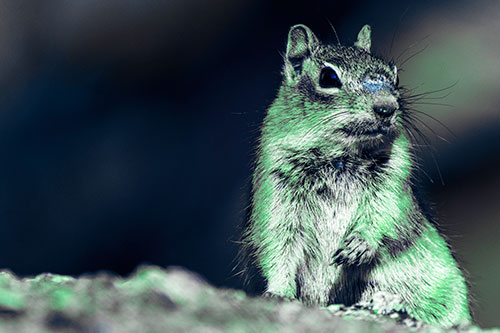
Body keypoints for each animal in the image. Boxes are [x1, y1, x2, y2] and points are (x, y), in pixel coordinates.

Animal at [240, 24, 470, 326]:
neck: (339, 156)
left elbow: (387, 214)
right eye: (328, 77)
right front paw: (278, 292)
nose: (386, 108)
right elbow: (277, 244)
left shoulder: (394, 180)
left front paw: (360, 245)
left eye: (395, 75)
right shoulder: (276, 187)